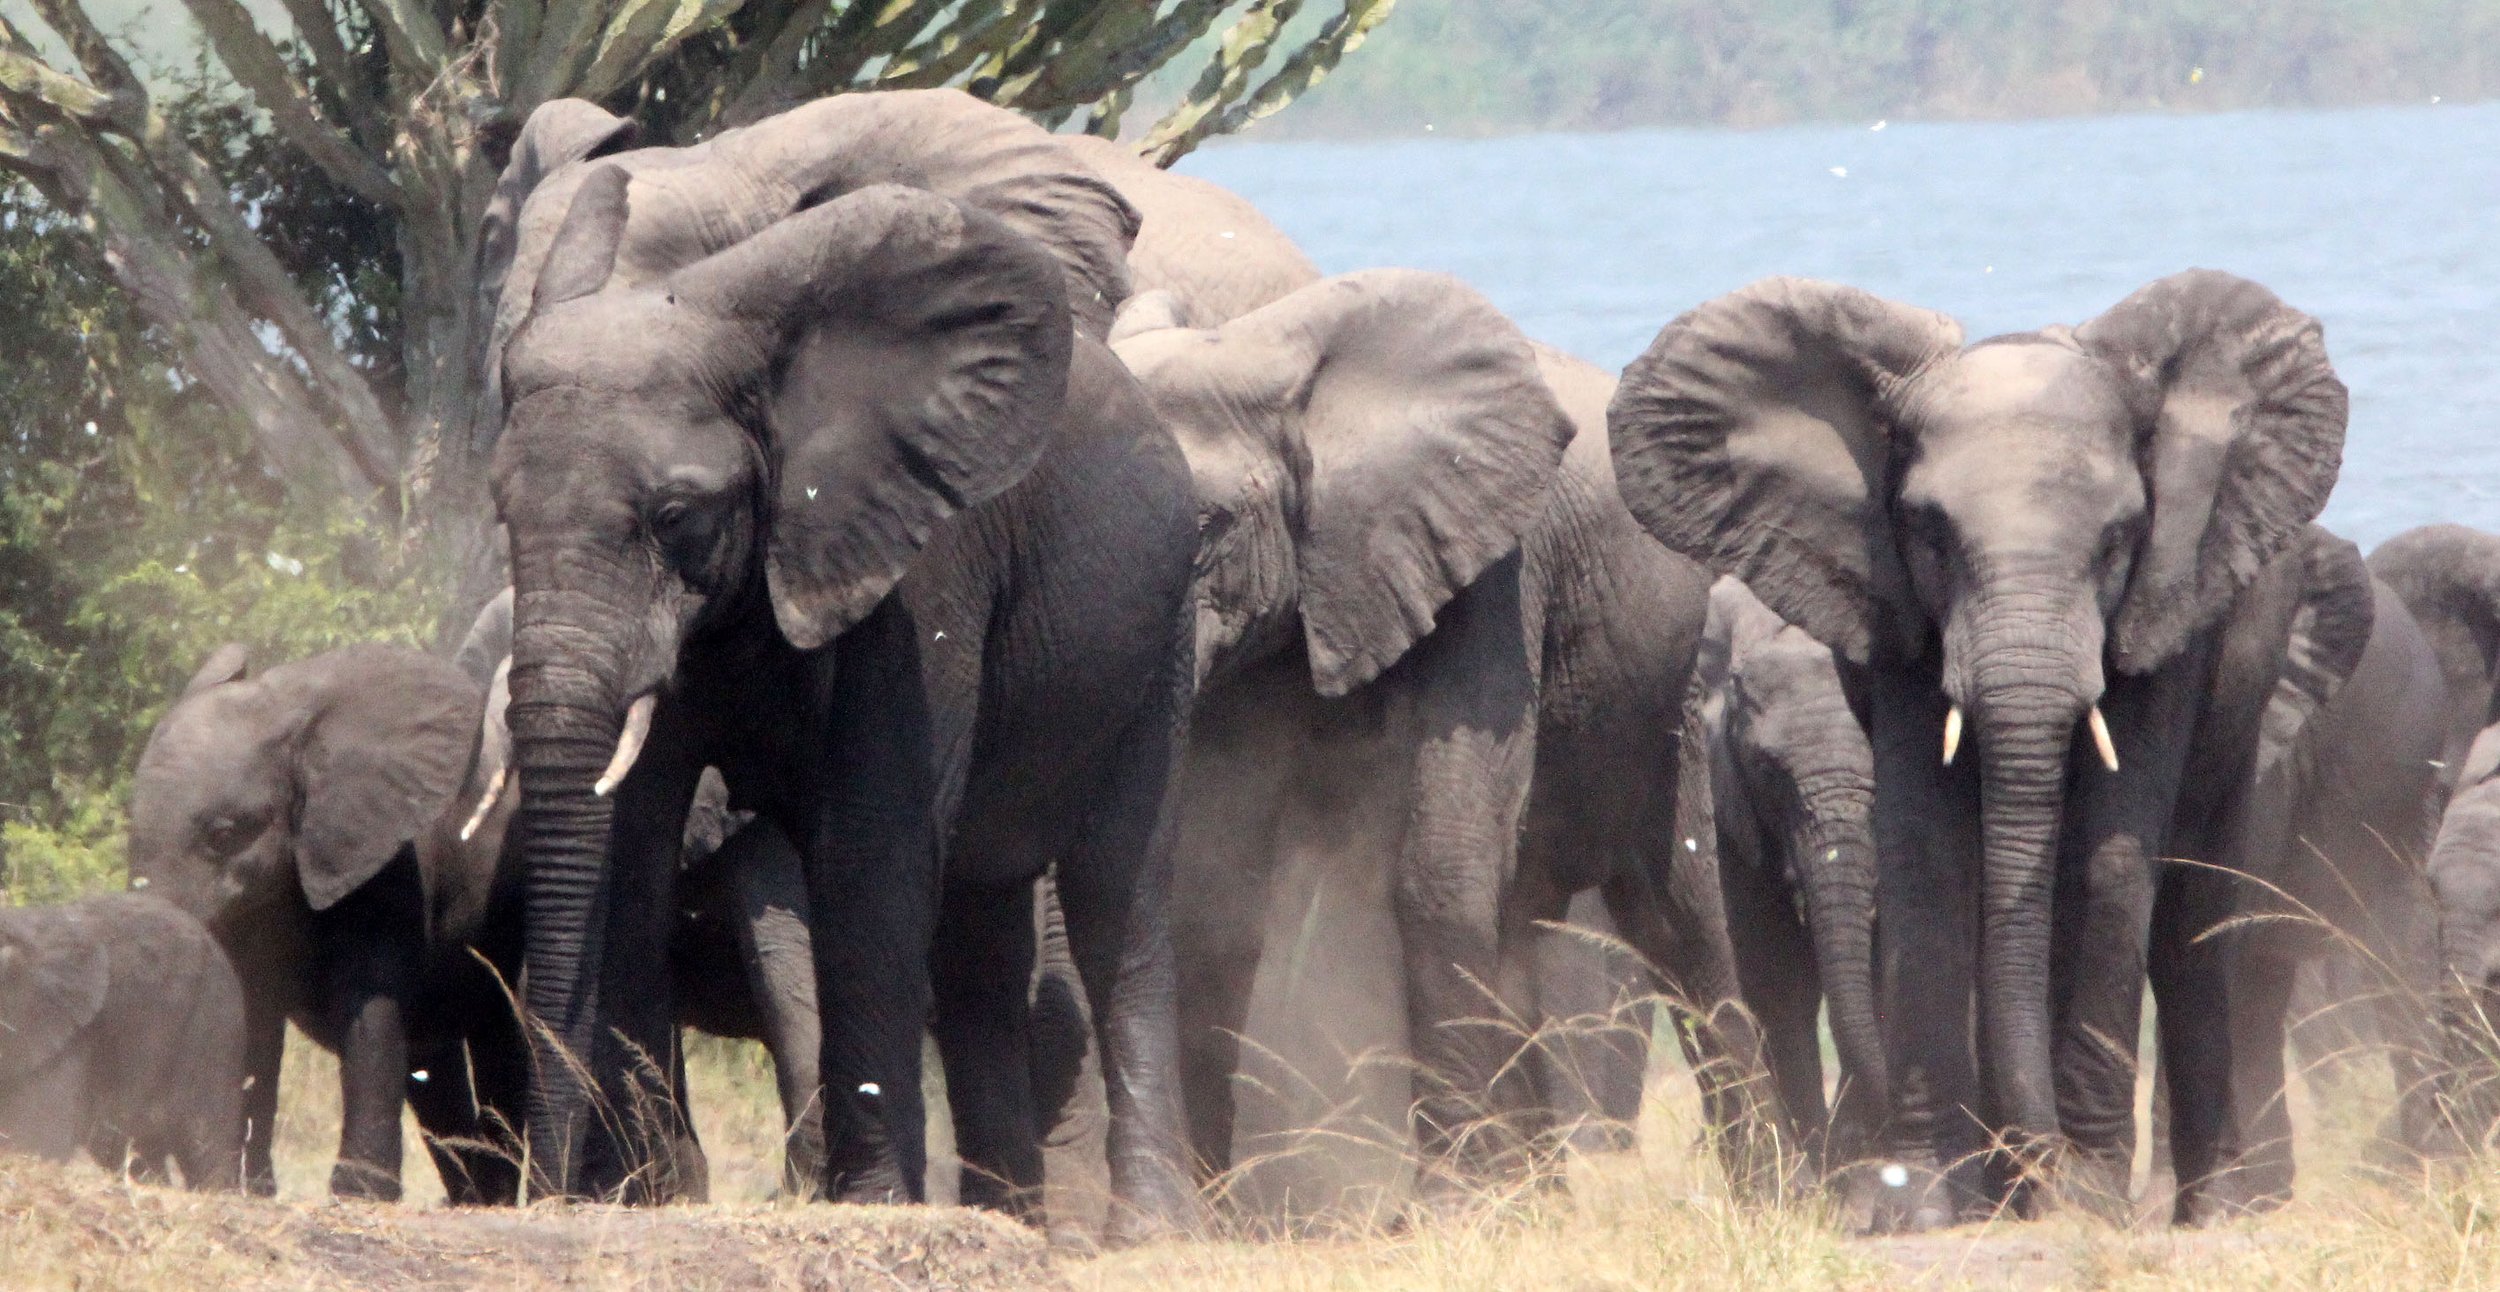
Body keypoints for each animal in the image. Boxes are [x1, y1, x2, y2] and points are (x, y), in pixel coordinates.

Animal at [480, 91, 1202, 1240]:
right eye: (501, 511)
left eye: (676, 514)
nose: (540, 1195)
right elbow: (631, 846)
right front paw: (640, 1202)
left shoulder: (921, 566)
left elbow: (872, 845)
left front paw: (872, 1208)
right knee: (980, 937)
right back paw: (1005, 1221)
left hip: (1163, 623)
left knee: (1117, 901)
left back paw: (1146, 1233)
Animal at [1111, 270, 1773, 1207]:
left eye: (1209, 526)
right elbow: (1216, 887)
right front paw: (1219, 1211)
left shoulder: (1494, 568)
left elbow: (1442, 868)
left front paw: (1452, 1207)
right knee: (1521, 924)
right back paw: (1536, 1198)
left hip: (1664, 700)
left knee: (1677, 922)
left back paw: (1771, 1190)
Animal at [1610, 271, 2351, 1226]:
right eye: (1929, 534)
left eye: (2118, 540)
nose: (2043, 1172)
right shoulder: (1895, 611)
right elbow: (1926, 852)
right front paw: (1929, 1208)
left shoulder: (2164, 609)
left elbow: (2109, 853)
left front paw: (2081, 1200)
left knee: (2194, 919)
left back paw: (2204, 1208)